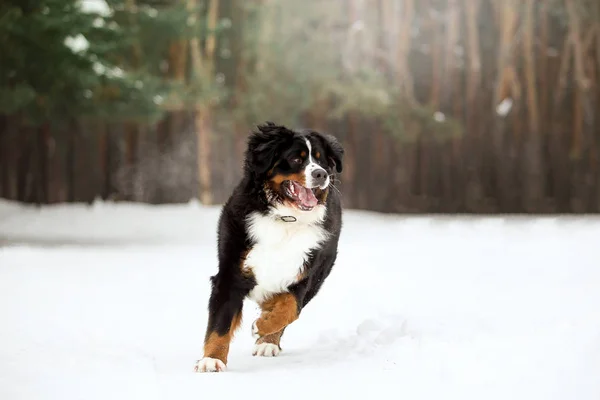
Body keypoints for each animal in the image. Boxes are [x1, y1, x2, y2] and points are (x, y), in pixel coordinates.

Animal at [192, 122, 342, 372]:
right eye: (296, 159)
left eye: (321, 160)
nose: (321, 174)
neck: (285, 218)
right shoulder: (231, 272)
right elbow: (220, 323)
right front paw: (212, 359)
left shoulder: (304, 274)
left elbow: (289, 308)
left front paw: (262, 327)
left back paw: (267, 342)